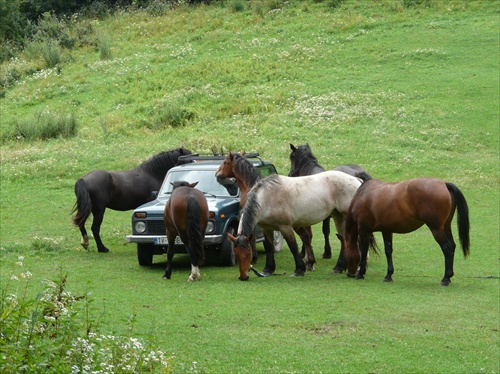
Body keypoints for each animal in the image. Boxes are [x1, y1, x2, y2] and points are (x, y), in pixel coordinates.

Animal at [228, 172, 364, 280]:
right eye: (236, 253)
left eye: (248, 254)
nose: (243, 277)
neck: (267, 198)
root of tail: (356, 180)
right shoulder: (267, 228)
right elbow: (269, 247)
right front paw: (268, 269)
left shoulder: (285, 227)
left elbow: (293, 246)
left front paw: (299, 270)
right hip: (338, 216)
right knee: (344, 240)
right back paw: (339, 267)